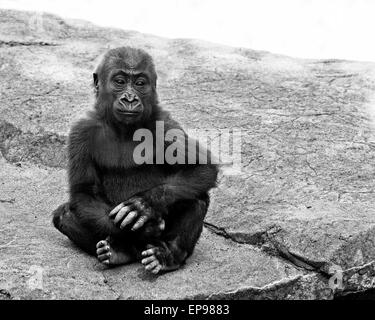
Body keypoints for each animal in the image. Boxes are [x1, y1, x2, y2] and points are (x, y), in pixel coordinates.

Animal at [51, 46, 219, 274]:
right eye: (120, 81)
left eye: (140, 83)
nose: (130, 98)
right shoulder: (81, 130)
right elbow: (84, 192)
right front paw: (146, 227)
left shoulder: (165, 124)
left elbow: (201, 168)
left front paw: (144, 205)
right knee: (65, 214)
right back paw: (120, 251)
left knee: (197, 197)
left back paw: (168, 256)